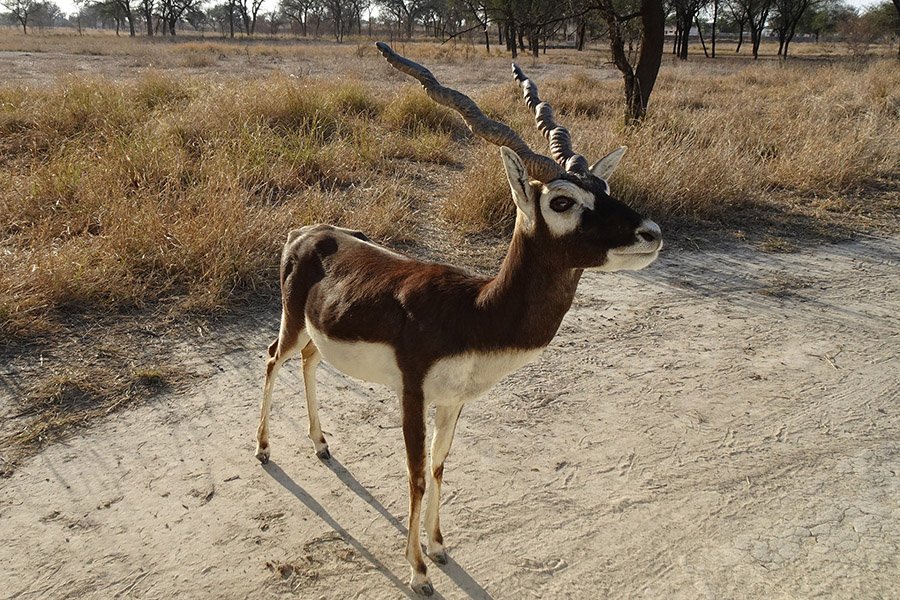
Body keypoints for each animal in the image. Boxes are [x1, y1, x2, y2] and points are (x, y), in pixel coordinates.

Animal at [253, 42, 660, 596]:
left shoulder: (453, 401)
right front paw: (418, 572)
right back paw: (263, 450)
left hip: (318, 331)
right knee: (274, 358)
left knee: (311, 361)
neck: (475, 311)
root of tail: (307, 231)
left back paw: (321, 446)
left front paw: (440, 548)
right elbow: (415, 474)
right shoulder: (413, 393)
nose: (651, 232)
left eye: (605, 186)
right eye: (562, 200)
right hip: (292, 322)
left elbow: (440, 467)